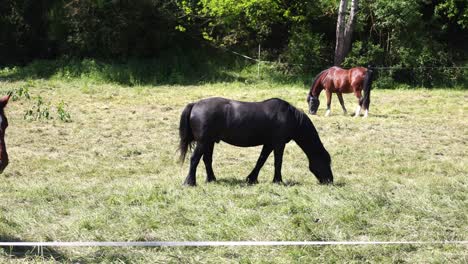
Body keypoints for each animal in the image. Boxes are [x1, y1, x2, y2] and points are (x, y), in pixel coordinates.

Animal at [177, 97, 334, 186]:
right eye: (325, 161)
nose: (330, 180)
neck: (291, 117)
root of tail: (195, 104)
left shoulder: (269, 143)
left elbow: (261, 160)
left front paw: (251, 179)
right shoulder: (278, 143)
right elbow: (278, 162)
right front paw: (278, 181)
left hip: (209, 142)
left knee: (207, 160)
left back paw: (212, 180)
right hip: (203, 142)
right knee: (194, 159)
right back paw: (190, 182)